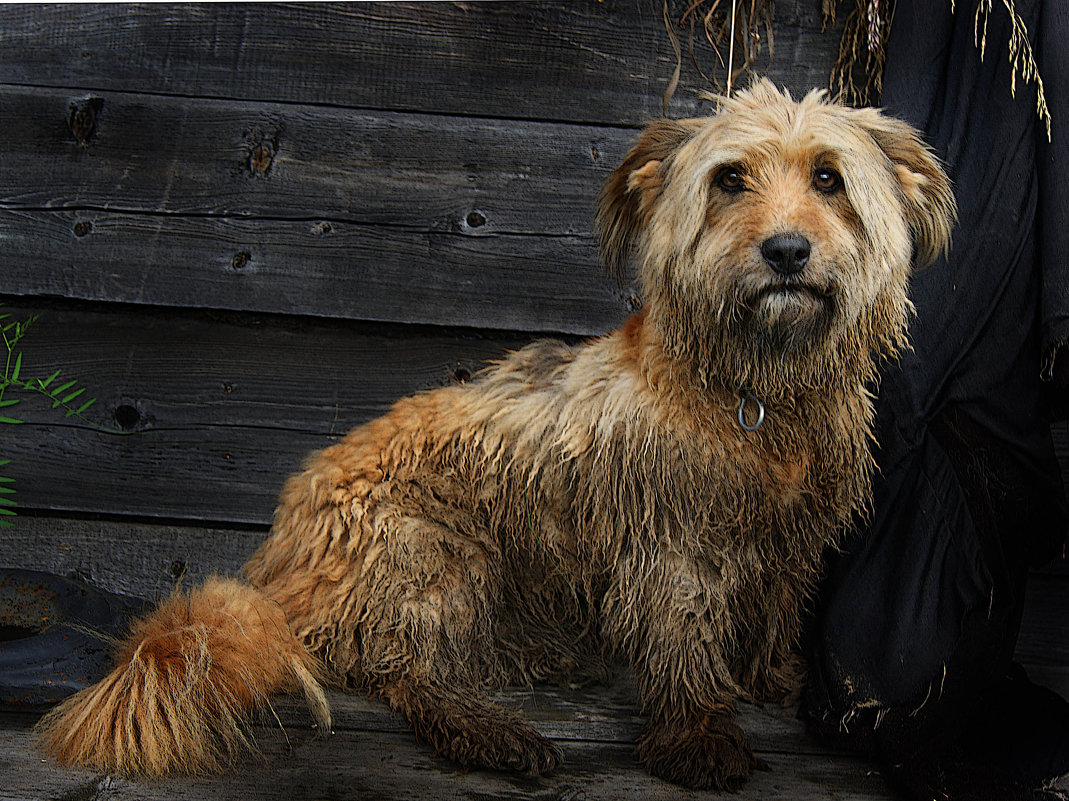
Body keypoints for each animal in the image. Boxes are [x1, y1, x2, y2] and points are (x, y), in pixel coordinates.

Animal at [35, 81, 953, 787]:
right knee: (397, 671)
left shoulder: (790, 539)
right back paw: (491, 733)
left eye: (829, 178)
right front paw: (698, 733)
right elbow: (683, 637)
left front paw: (769, 678)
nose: (786, 251)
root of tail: (274, 563)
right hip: (435, 549)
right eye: (729, 179)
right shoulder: (671, 546)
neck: (753, 391)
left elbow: (773, 606)